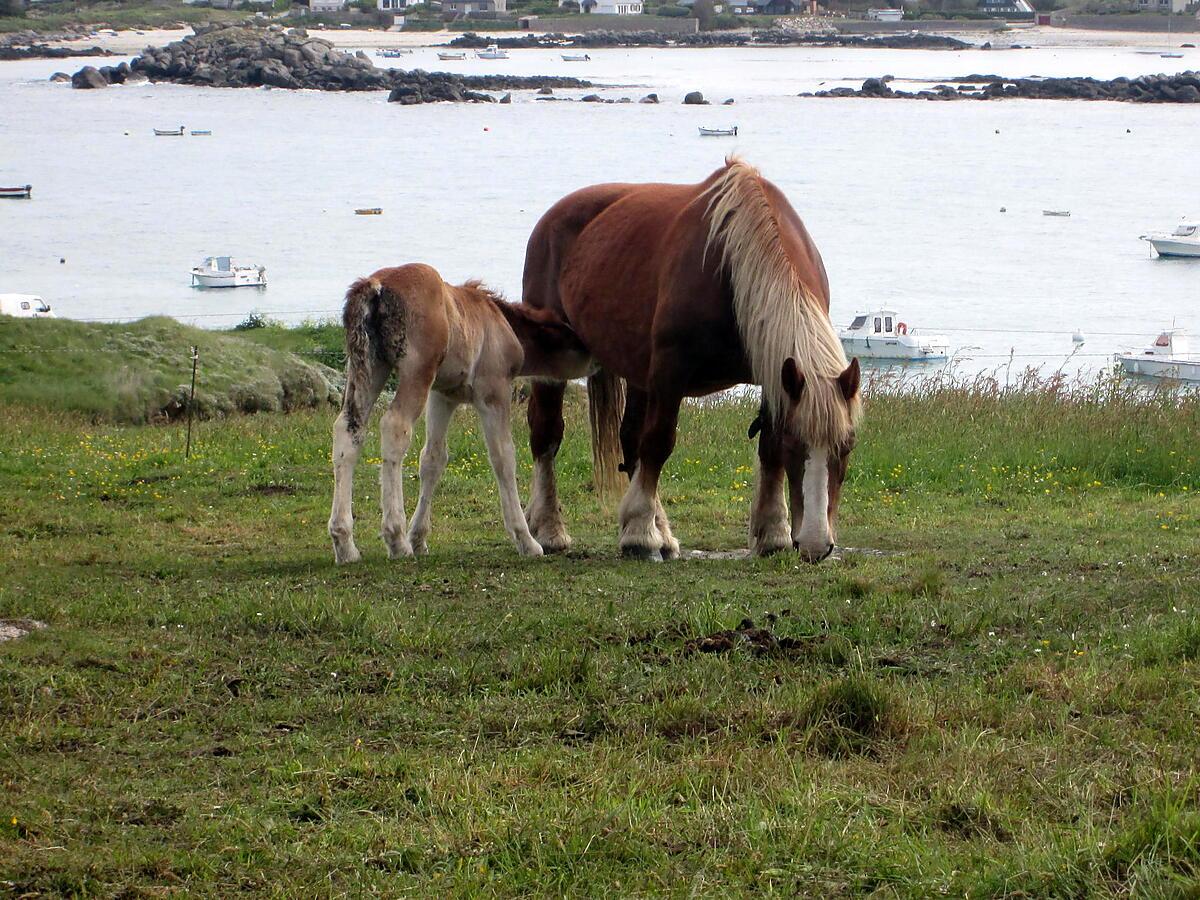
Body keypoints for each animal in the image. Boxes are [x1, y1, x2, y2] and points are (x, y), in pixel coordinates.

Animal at [328, 264, 590, 566]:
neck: (502, 322)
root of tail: (375, 286)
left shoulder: (443, 396)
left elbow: (433, 459)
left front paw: (419, 538)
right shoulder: (493, 392)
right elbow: (503, 458)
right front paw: (526, 540)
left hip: (369, 368)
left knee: (349, 430)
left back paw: (345, 543)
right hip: (416, 372)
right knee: (395, 427)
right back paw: (396, 539)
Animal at [525, 158, 864, 561]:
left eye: (847, 446)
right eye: (795, 444)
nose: (815, 544)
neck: (733, 267)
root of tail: (550, 219)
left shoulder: (775, 376)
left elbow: (766, 448)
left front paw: (772, 532)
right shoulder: (669, 374)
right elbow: (659, 442)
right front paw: (640, 533)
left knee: (629, 439)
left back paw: (662, 535)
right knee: (547, 434)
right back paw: (549, 528)